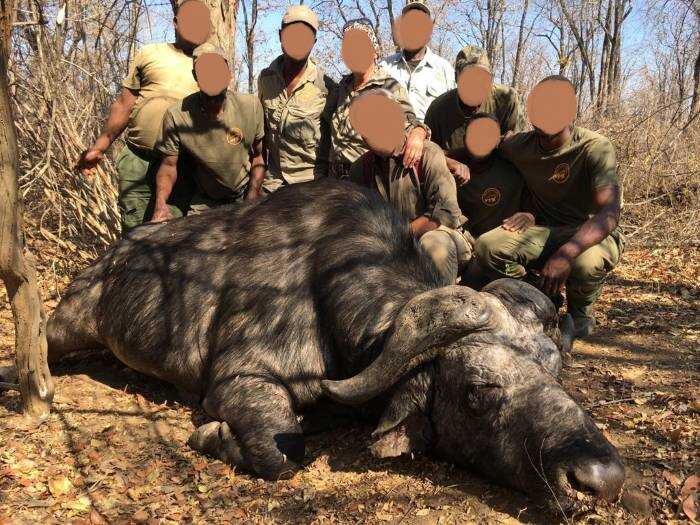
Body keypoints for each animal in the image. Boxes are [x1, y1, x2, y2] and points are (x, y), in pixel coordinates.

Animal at [44, 179, 624, 510]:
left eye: (553, 376)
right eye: (481, 391)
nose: (600, 478)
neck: (322, 286)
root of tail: (114, 258)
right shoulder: (240, 381)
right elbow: (282, 452)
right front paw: (213, 435)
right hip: (67, 325)